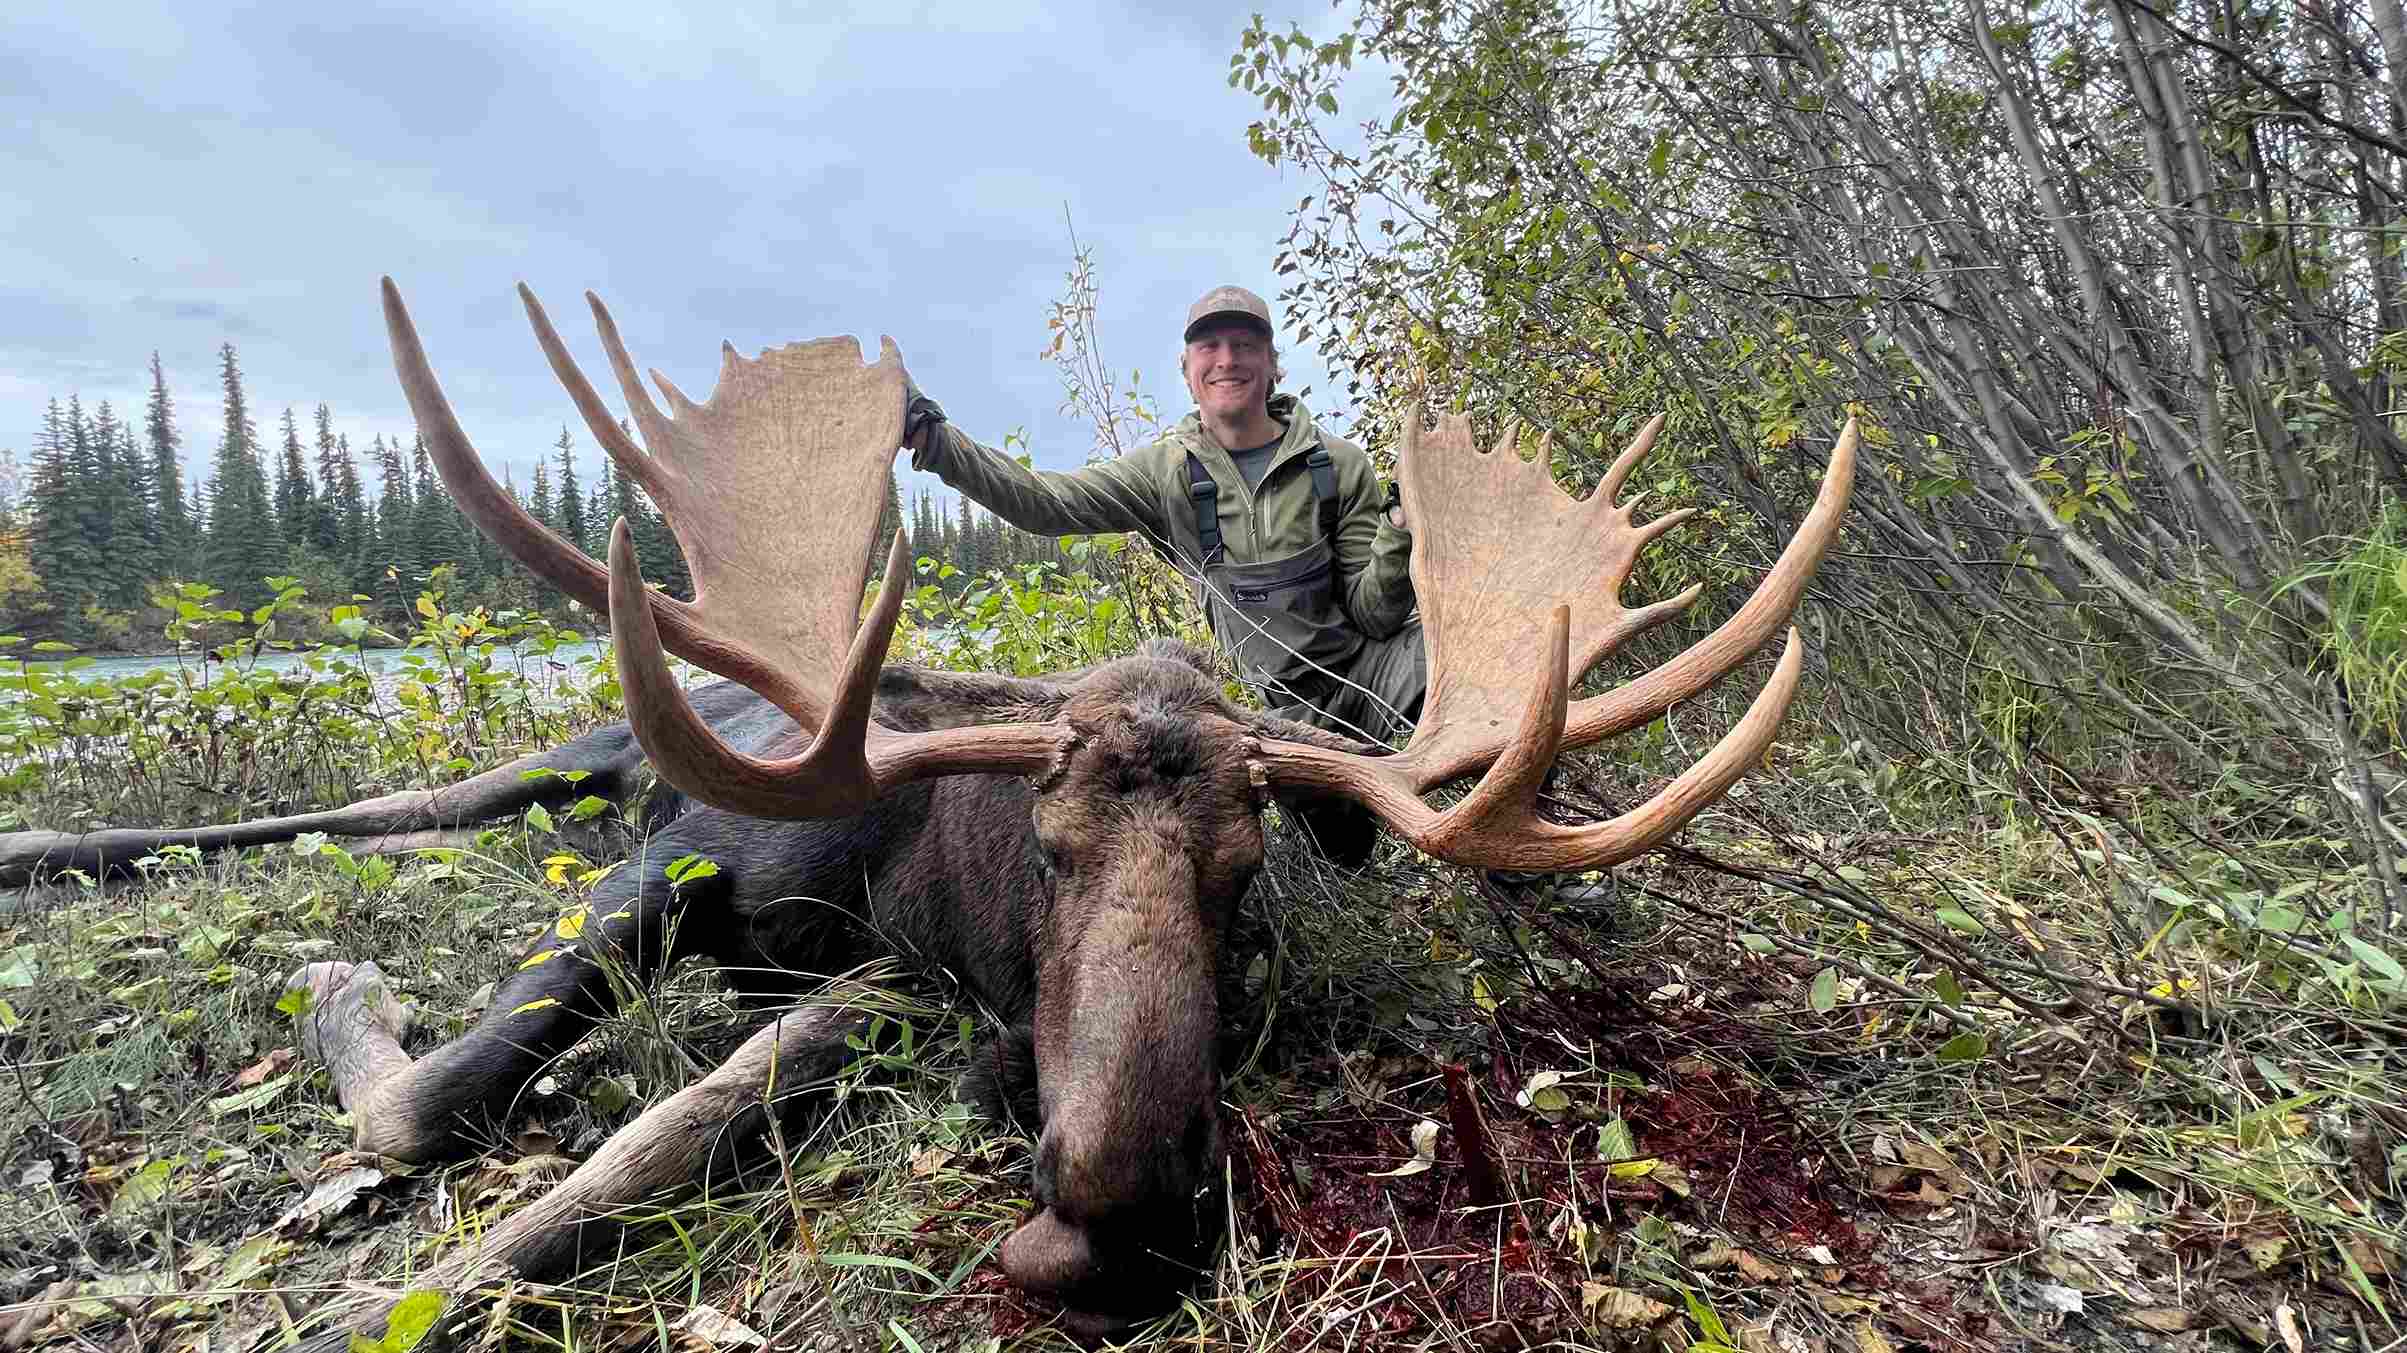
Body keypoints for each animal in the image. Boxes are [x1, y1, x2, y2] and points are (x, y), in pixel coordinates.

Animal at [0, 279, 1854, 1340]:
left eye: (1245, 883)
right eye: (1044, 849)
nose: (1114, 1215)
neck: (931, 885)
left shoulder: (888, 979)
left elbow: (686, 1119)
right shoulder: (674, 862)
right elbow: (430, 1099)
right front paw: (348, 1029)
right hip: (584, 753)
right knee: (392, 802)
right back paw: (65, 849)